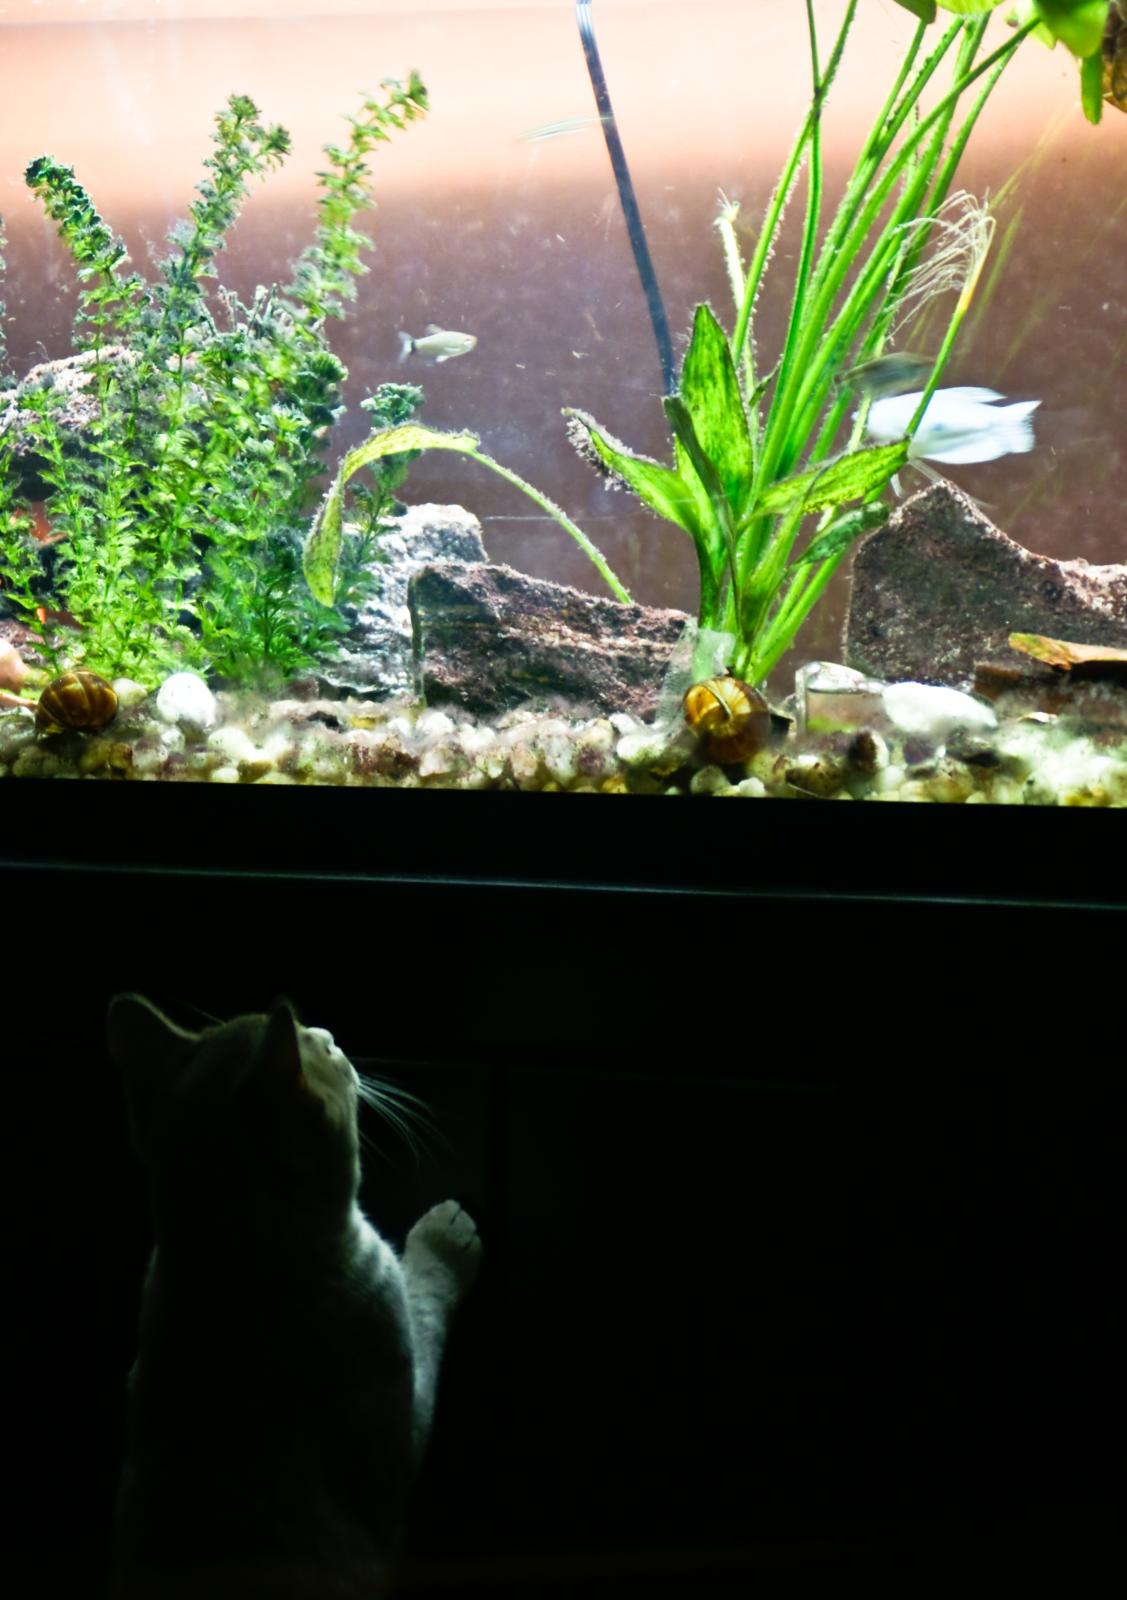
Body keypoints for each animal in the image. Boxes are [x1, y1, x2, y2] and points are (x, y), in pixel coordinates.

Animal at [103, 992, 477, 1593]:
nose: (328, 1032)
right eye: (319, 1048)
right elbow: (424, 1300)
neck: (231, 1263)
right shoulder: (400, 1428)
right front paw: (446, 1235)